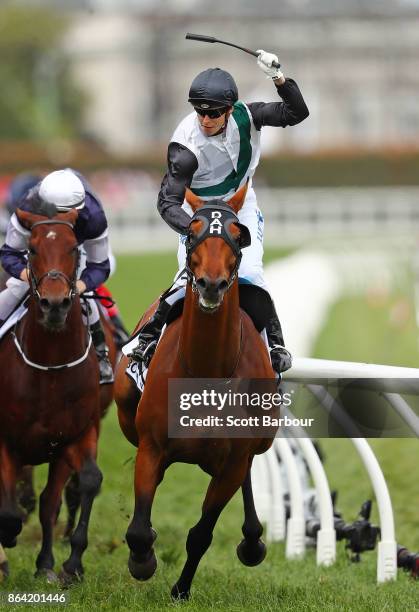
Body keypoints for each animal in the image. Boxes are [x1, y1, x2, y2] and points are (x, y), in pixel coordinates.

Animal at [0, 207, 103, 584]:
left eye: (74, 247)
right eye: (31, 250)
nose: (55, 304)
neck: (50, 369)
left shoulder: (74, 435)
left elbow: (76, 488)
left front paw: (60, 564)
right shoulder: (6, 442)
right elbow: (8, 511)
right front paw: (7, 545)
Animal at [116, 184, 278, 600]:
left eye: (239, 235)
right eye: (191, 233)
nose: (211, 284)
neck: (206, 370)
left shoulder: (233, 462)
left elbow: (201, 534)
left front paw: (180, 589)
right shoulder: (151, 446)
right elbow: (138, 529)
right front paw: (143, 561)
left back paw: (252, 541)